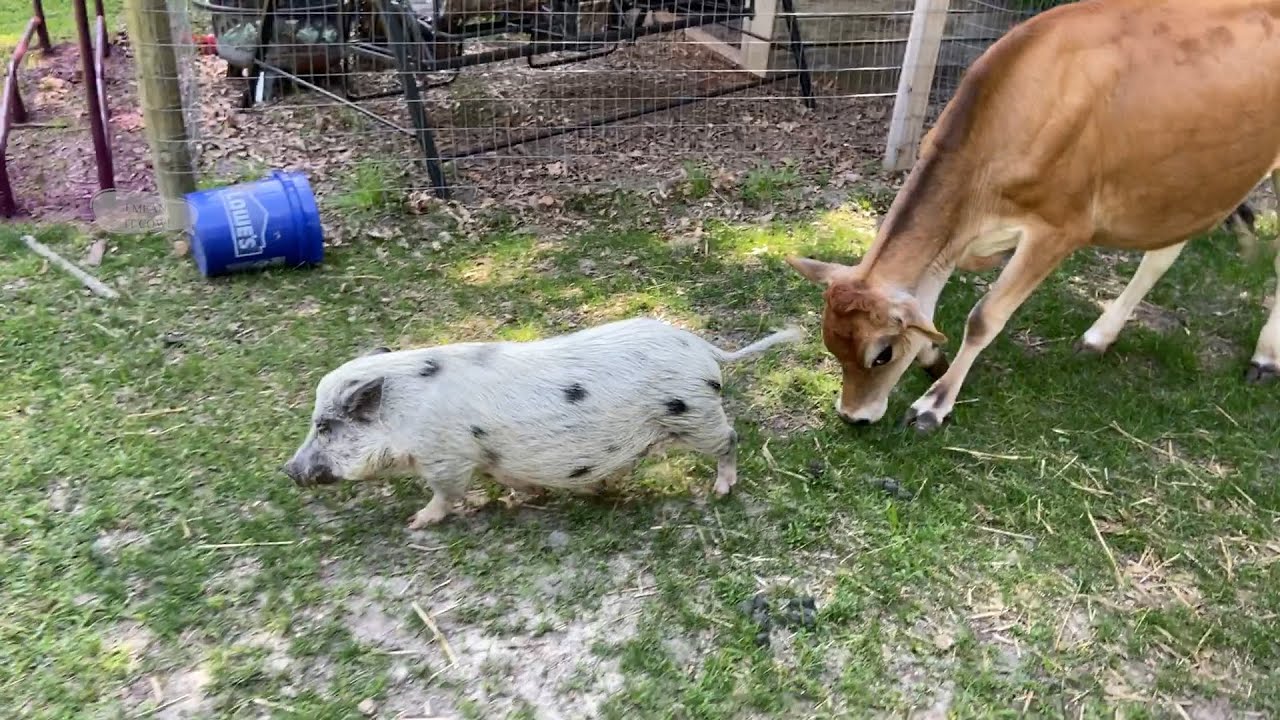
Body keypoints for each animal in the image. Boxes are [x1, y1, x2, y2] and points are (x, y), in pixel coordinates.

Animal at [282, 317, 804, 528]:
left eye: (325, 426)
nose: (288, 470)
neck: (406, 416)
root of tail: (702, 348)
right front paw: (528, 495)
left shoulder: (446, 459)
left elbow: (445, 495)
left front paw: (416, 523)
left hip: (696, 415)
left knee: (731, 439)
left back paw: (720, 491)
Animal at [786, 0, 1280, 432]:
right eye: (831, 343)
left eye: (882, 354)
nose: (852, 416)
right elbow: (927, 302)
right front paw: (931, 357)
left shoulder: (1059, 228)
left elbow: (983, 318)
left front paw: (933, 405)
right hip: (1188, 181)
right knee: (1163, 254)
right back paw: (1100, 336)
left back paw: (1265, 356)